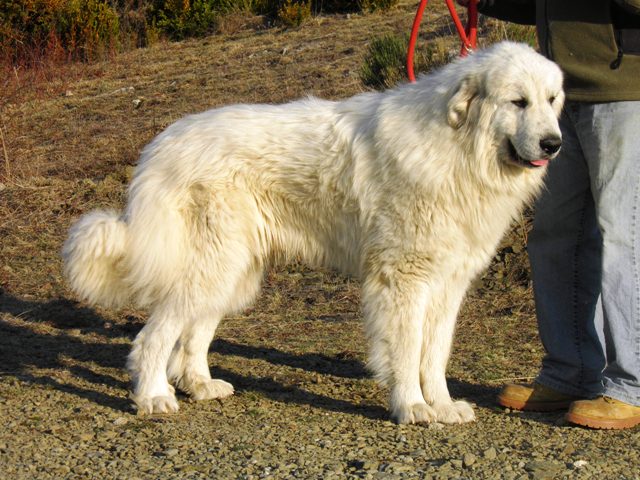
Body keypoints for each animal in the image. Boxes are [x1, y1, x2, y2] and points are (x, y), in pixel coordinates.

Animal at [65, 42, 564, 424]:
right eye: (518, 102)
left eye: (553, 100)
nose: (554, 144)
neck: (457, 148)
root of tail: (161, 144)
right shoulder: (403, 280)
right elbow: (406, 351)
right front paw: (412, 407)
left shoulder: (447, 284)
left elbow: (434, 353)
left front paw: (441, 405)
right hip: (212, 264)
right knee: (154, 336)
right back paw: (153, 396)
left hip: (233, 271)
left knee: (194, 331)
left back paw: (199, 384)